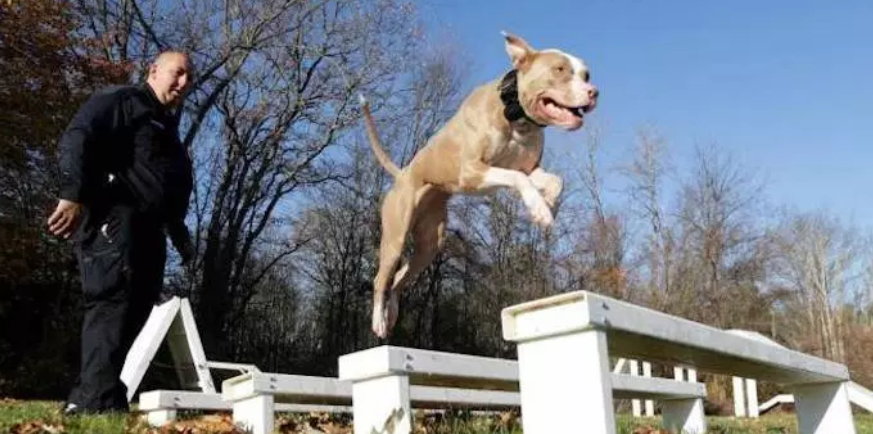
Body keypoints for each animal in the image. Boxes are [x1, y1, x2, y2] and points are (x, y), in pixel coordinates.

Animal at [360, 32, 599, 339]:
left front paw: (547, 208)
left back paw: (391, 314)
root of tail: (403, 173)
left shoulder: (529, 168)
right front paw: (540, 210)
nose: (594, 92)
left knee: (400, 276)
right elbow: (519, 179)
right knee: (381, 277)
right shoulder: (473, 171)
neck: (515, 115)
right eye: (559, 70)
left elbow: (556, 181)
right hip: (395, 236)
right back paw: (379, 319)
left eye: (586, 74)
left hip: (430, 243)